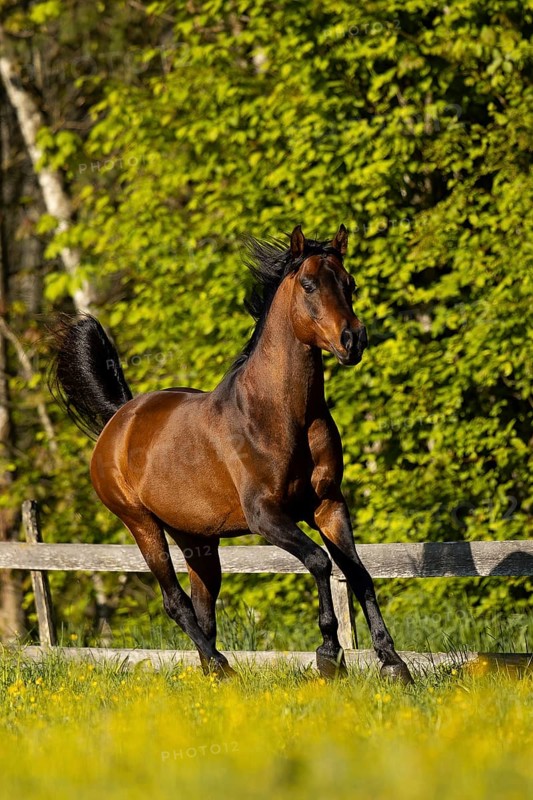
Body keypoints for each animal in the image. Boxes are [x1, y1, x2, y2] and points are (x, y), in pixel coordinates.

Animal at [49, 224, 413, 684]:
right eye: (309, 284)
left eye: (350, 284)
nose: (353, 340)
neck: (280, 414)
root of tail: (120, 419)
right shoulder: (265, 515)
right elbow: (319, 562)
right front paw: (328, 655)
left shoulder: (329, 504)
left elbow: (358, 573)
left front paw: (393, 662)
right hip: (142, 525)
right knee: (176, 603)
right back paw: (223, 667)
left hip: (197, 539)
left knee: (203, 607)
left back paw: (214, 674)